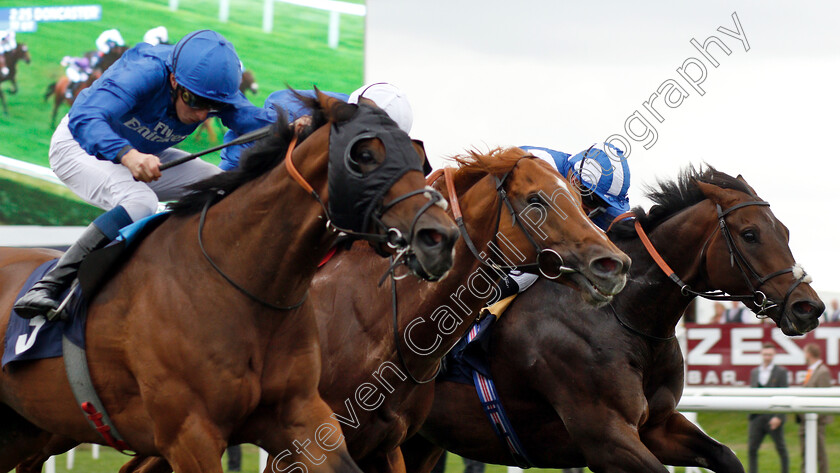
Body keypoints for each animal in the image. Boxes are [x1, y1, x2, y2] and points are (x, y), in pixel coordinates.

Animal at [0, 91, 460, 472]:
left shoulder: (302, 415)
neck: (242, 284)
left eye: (419, 162)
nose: (440, 238)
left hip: (25, 427)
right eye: (363, 153)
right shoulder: (189, 436)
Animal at [100, 147, 632, 472]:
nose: (615, 264)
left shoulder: (387, 445)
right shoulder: (298, 447)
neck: (382, 326)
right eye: (536, 199)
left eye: (580, 200)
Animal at [404, 166, 824, 472]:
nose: (809, 307)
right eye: (750, 234)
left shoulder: (657, 427)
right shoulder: (605, 438)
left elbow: (725, 455)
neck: (624, 318)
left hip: (422, 438)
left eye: (784, 231)